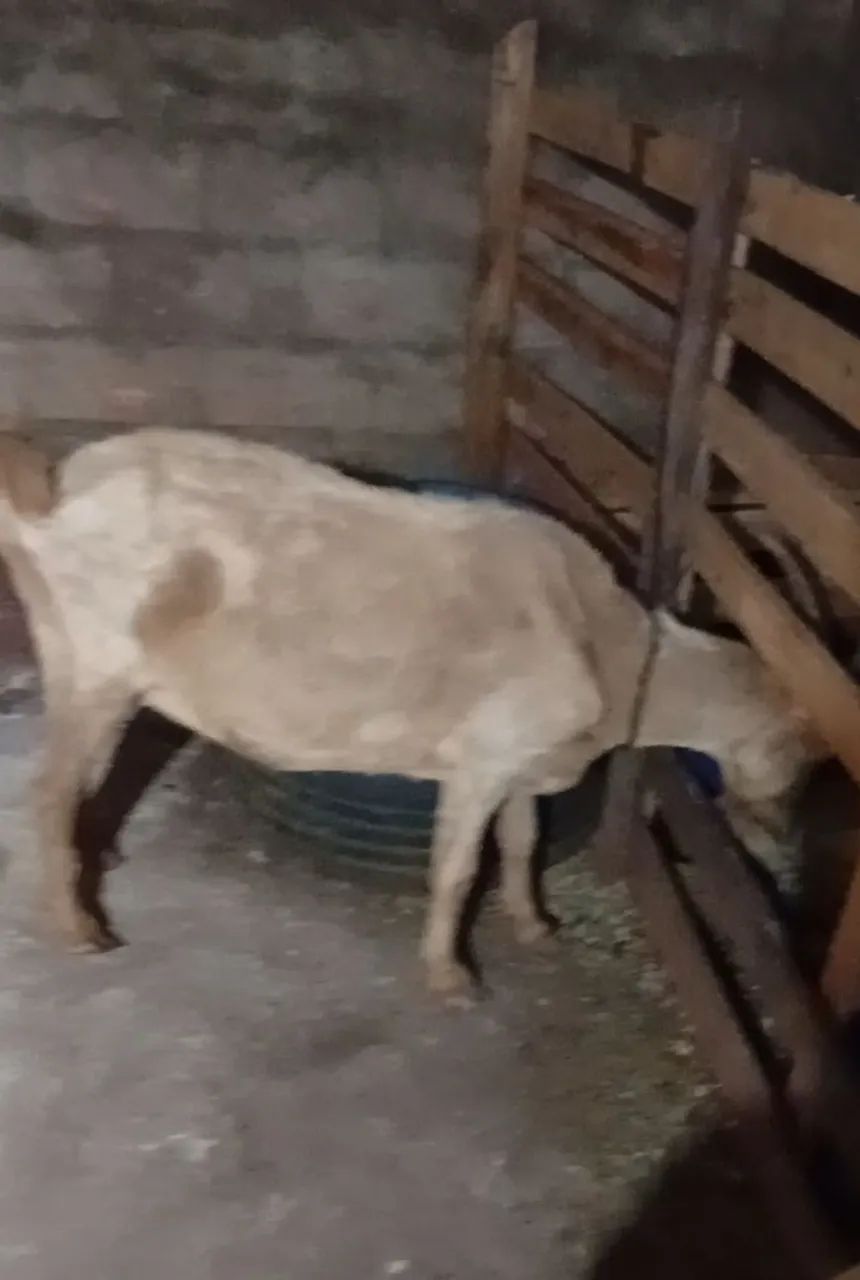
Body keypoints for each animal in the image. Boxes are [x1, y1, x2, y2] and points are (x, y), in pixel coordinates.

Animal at [0, 428, 823, 997]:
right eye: (804, 749)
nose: (785, 833)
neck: (614, 653)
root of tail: (56, 487)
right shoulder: (483, 758)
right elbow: (458, 870)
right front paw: (451, 977)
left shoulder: (523, 760)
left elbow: (523, 842)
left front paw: (535, 924)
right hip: (97, 661)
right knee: (47, 791)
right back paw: (80, 927)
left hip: (85, 662)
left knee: (86, 778)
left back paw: (98, 857)